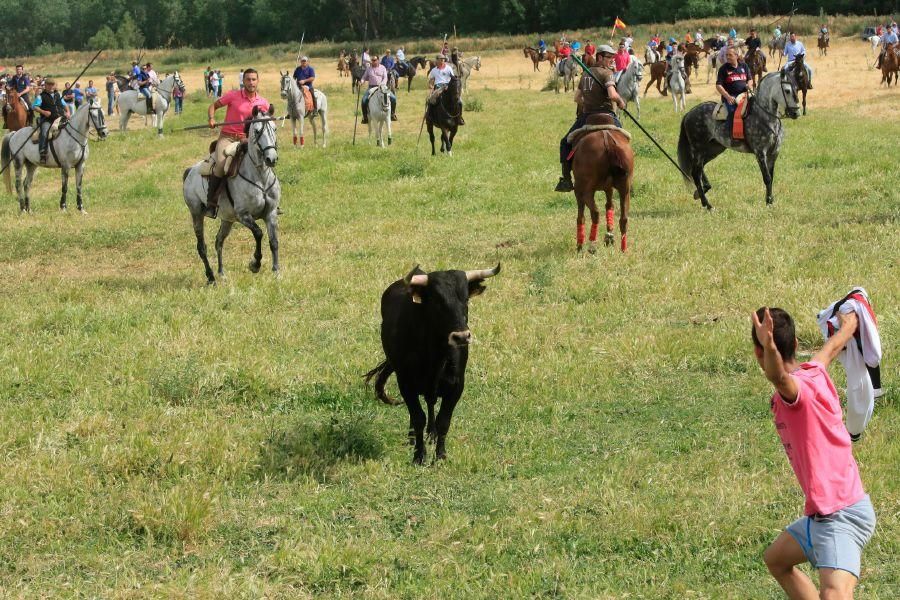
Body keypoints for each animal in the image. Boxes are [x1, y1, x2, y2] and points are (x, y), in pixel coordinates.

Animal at [370, 264, 502, 466]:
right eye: (438, 302)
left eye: (465, 299)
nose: (461, 337)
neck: (435, 357)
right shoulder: (406, 384)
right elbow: (418, 417)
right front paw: (419, 456)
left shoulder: (456, 386)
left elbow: (443, 421)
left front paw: (440, 456)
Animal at [568, 115, 632, 253]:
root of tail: (608, 141)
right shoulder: (609, 188)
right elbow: (609, 206)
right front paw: (609, 236)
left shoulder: (578, 192)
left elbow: (581, 216)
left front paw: (580, 245)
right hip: (625, 189)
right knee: (623, 219)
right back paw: (623, 248)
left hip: (585, 191)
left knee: (595, 213)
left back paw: (591, 245)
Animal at [676, 71, 800, 209]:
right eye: (787, 90)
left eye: (797, 88)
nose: (796, 113)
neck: (764, 116)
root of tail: (689, 114)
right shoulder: (760, 153)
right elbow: (767, 178)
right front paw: (768, 203)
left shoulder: (773, 153)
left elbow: (771, 177)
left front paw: (770, 202)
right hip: (698, 149)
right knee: (695, 173)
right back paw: (708, 205)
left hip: (714, 149)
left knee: (699, 167)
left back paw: (701, 193)